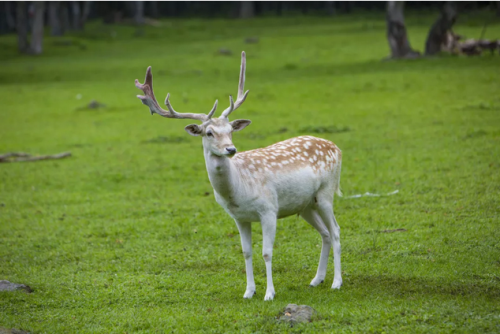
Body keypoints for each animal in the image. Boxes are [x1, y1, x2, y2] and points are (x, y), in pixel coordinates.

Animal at [135, 51, 342, 302]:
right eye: (209, 132)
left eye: (231, 131)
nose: (231, 149)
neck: (238, 189)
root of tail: (336, 147)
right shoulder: (239, 217)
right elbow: (246, 252)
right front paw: (249, 291)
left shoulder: (269, 209)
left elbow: (266, 252)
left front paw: (269, 294)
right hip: (305, 205)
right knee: (325, 233)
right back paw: (316, 279)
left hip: (326, 192)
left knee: (336, 231)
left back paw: (336, 282)